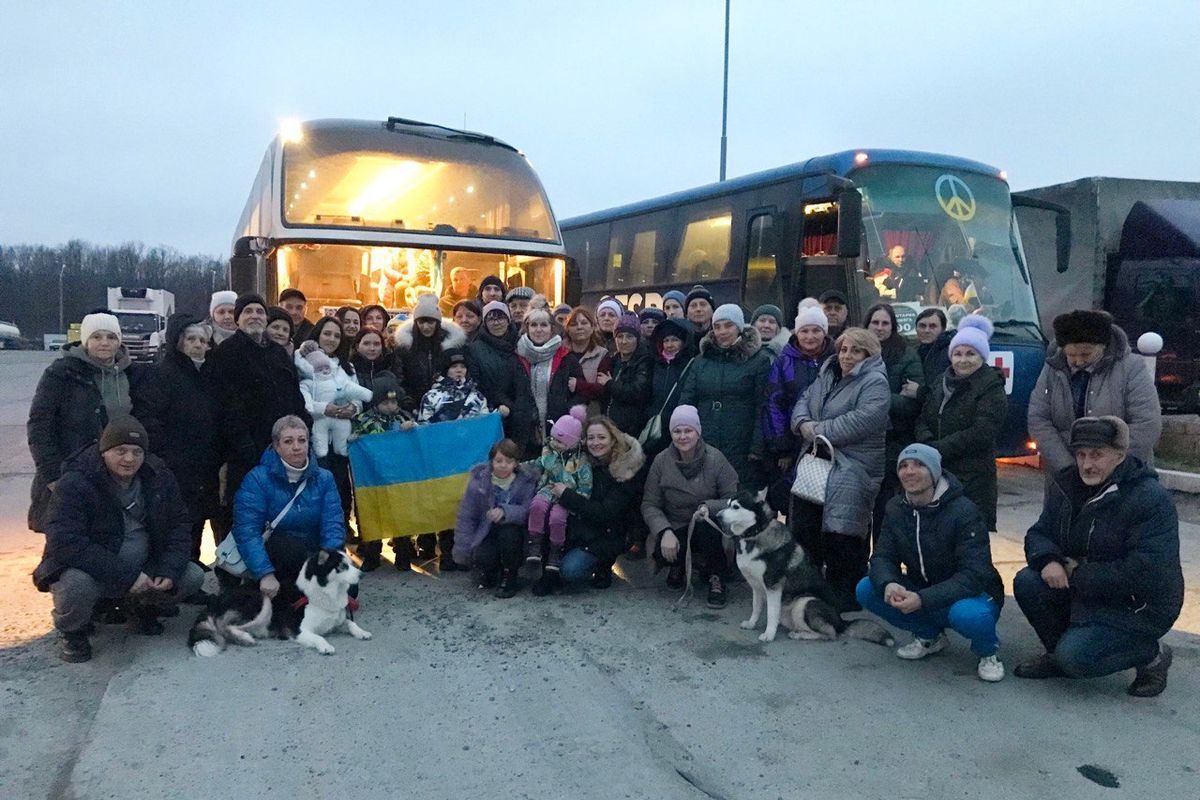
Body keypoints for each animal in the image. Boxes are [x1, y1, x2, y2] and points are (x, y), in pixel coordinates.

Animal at [710, 489, 892, 652]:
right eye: (727, 504)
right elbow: (756, 608)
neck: (754, 534)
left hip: (805, 602)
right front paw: (751, 623)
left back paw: (800, 635)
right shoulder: (756, 586)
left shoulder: (773, 587)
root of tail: (841, 621)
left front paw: (769, 634)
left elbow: (771, 614)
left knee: (830, 633)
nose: (717, 516)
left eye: (736, 507)